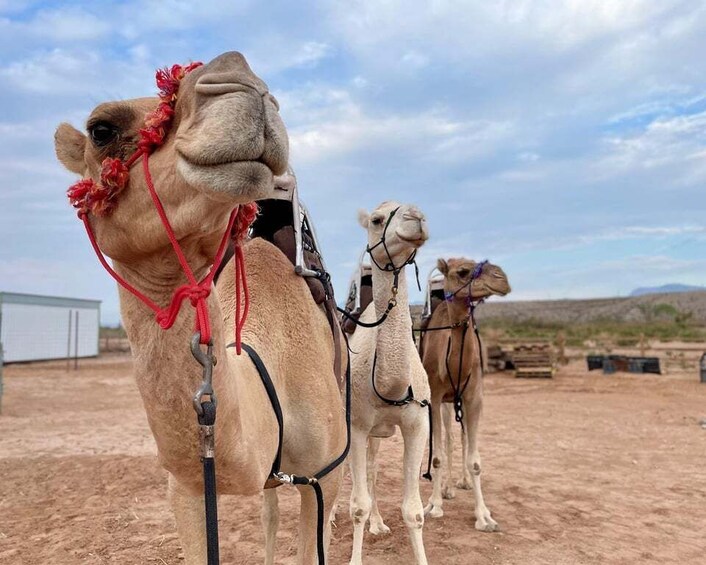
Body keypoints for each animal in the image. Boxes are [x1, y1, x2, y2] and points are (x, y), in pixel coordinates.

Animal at [418, 256, 506, 528]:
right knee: (447, 438)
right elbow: (436, 456)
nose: (502, 278)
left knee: (461, 436)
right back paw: (445, 489)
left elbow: (475, 460)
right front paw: (435, 504)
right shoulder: (435, 397)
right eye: (463, 271)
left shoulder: (474, 397)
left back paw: (462, 483)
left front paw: (484, 515)